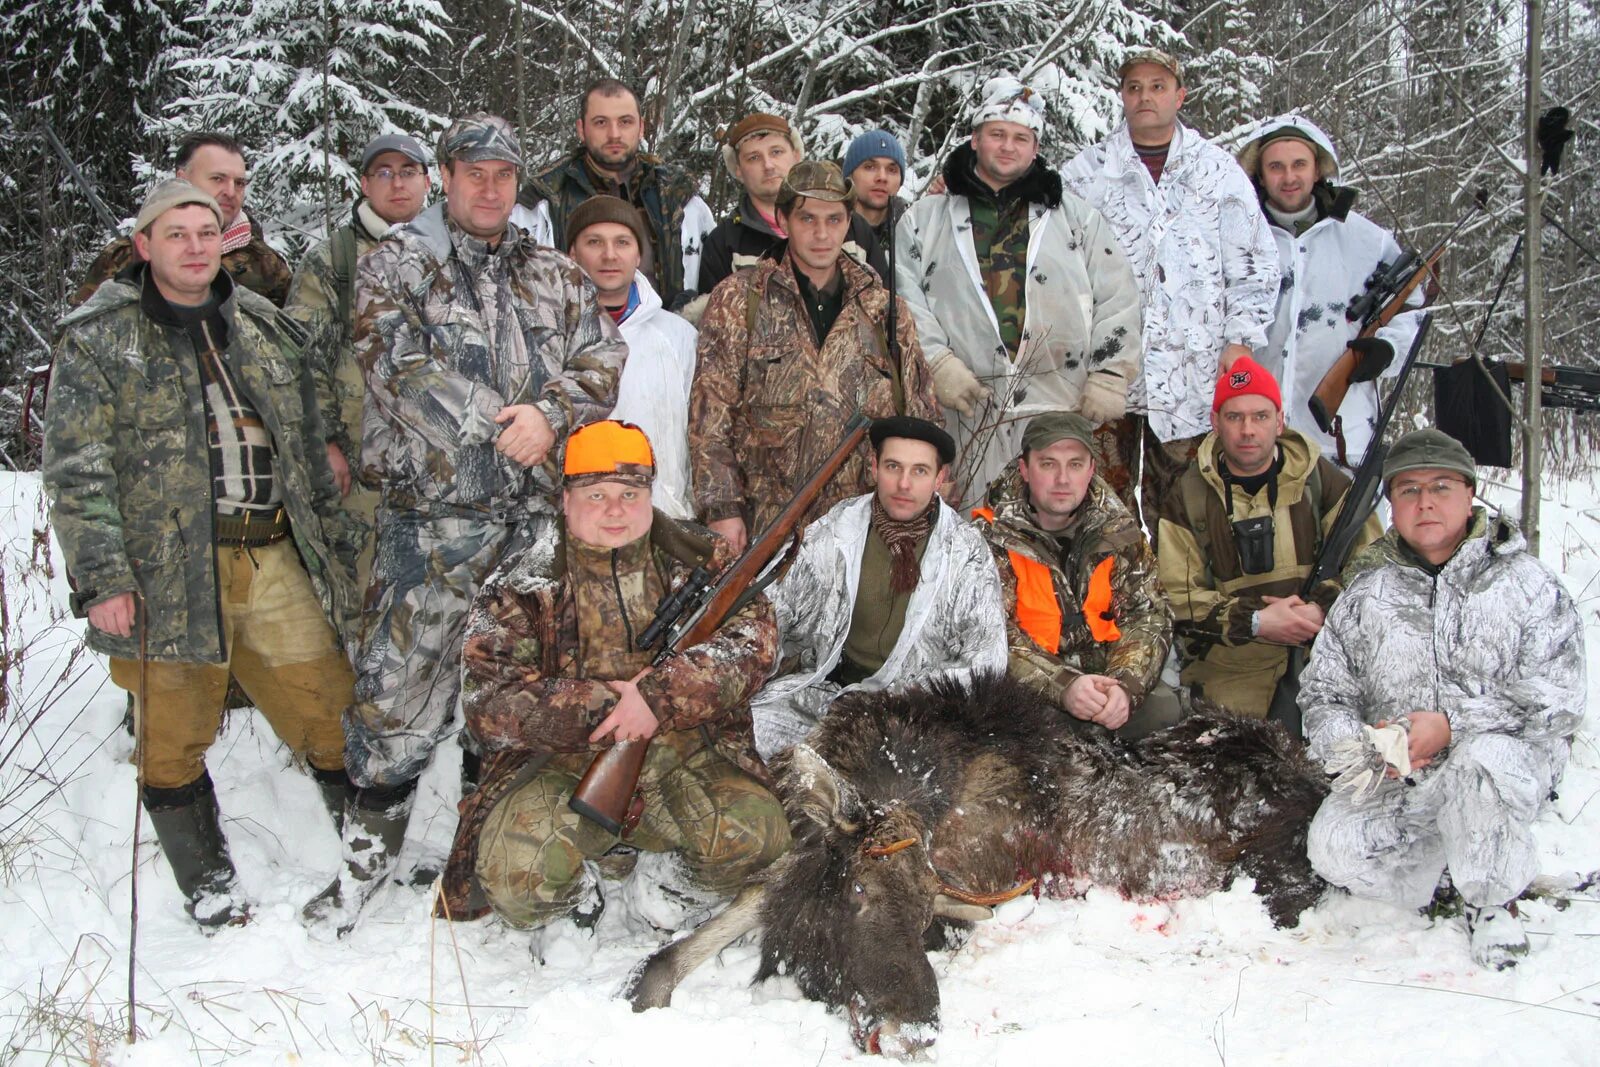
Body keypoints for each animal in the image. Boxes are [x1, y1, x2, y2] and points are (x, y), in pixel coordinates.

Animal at [620, 671, 1324, 1055]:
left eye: (917, 911)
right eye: (858, 894)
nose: (913, 1031)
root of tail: (1313, 772)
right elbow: (702, 935)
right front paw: (644, 991)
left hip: (1269, 863)